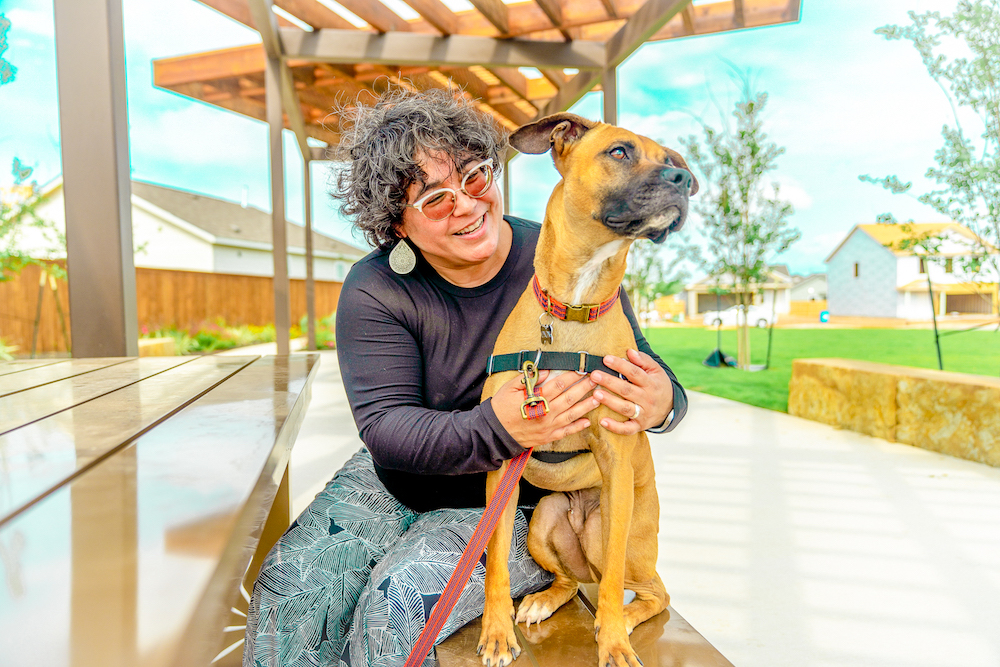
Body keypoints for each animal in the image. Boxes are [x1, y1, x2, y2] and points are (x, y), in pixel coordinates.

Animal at [480, 115, 700, 667]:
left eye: (671, 160)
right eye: (619, 151)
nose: (683, 180)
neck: (574, 310)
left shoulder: (616, 461)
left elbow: (614, 589)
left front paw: (615, 642)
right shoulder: (502, 467)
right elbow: (494, 560)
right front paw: (495, 631)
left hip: (615, 535)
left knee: (644, 590)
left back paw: (621, 618)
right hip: (542, 523)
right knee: (567, 579)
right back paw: (543, 600)